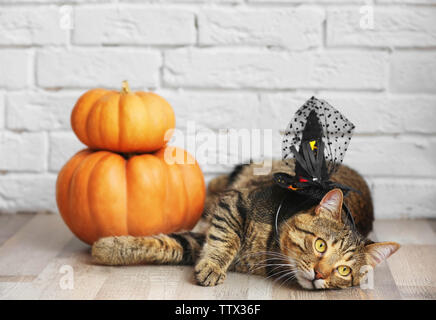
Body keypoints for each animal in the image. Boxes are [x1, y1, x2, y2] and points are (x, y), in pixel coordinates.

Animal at [92, 160, 398, 290]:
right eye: (320, 245)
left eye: (344, 270)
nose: (319, 274)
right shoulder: (236, 201)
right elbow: (225, 239)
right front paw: (108, 247)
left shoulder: (199, 240)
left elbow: (169, 244)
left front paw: (109, 248)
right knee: (224, 182)